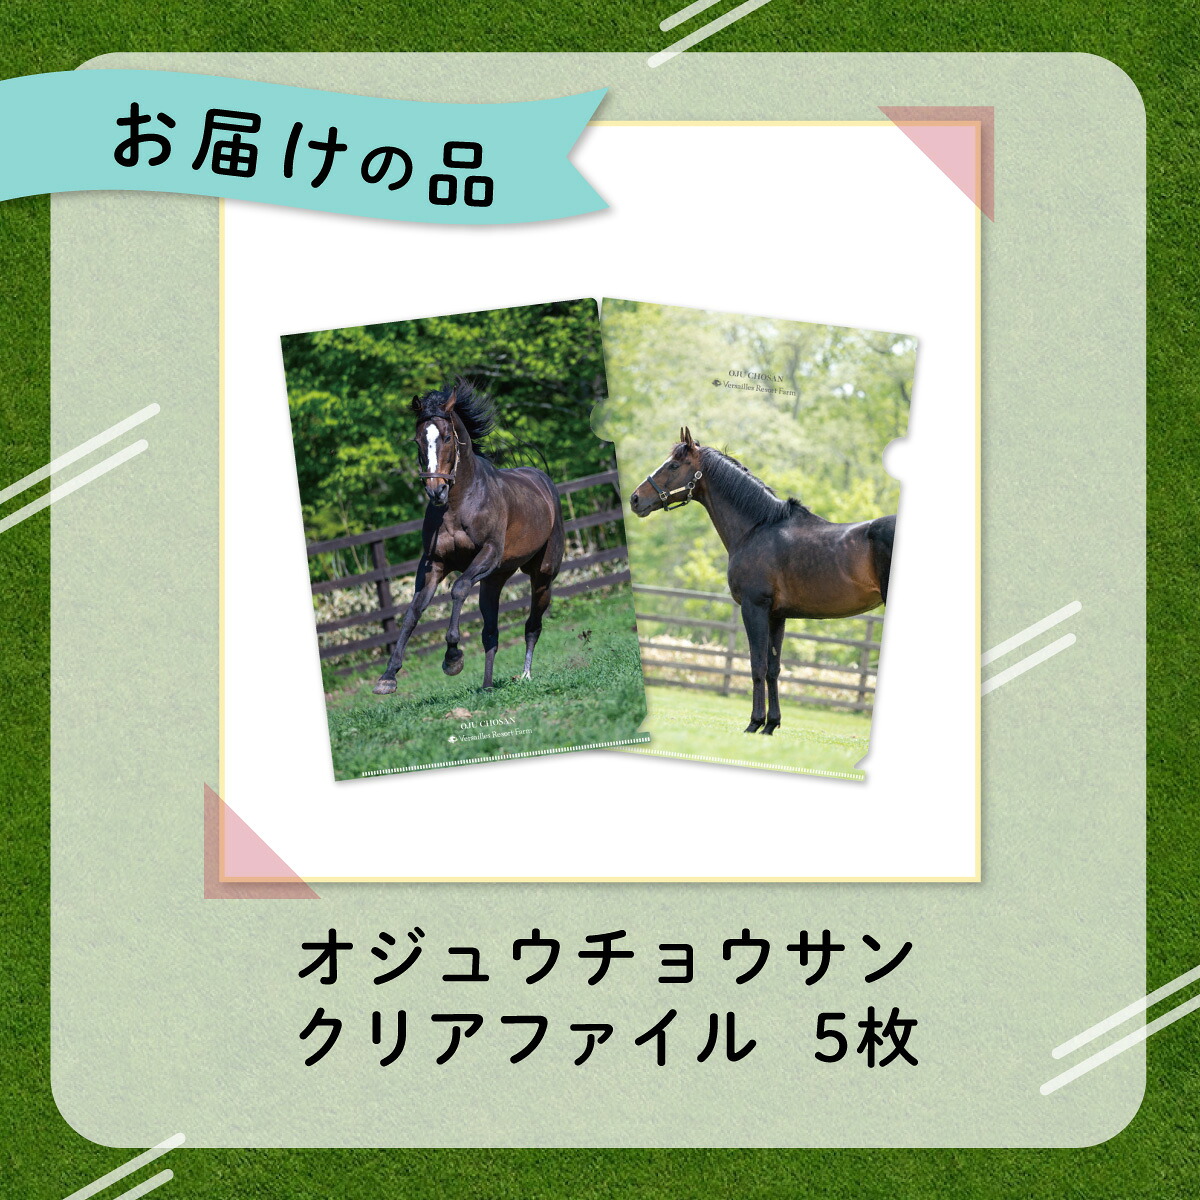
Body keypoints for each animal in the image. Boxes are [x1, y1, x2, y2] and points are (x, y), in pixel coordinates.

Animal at [372, 377, 565, 695]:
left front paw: (452, 658)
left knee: (533, 625)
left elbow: (459, 588)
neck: (460, 503)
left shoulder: (487, 554)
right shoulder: (435, 564)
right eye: (418, 441)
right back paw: (487, 686)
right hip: (494, 580)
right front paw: (388, 677)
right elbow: (414, 611)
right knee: (491, 634)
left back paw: (525, 675)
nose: (436, 490)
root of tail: (543, 481)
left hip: (542, 576)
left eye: (448, 437)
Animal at [629, 427, 895, 735]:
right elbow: (772, 667)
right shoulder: (777, 615)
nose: (635, 499)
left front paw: (754, 723)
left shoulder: (754, 607)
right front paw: (771, 725)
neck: (757, 528)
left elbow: (756, 665)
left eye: (673, 465)